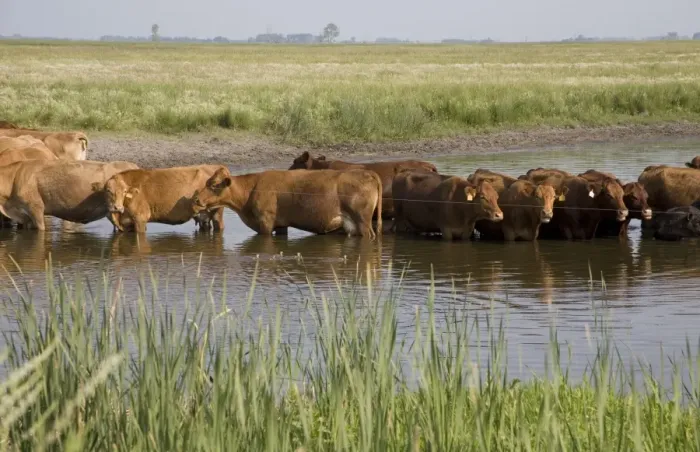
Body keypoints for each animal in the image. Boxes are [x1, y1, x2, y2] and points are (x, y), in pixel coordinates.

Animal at [191, 167, 383, 239]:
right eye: (206, 182)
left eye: (214, 185)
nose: (196, 199)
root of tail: (367, 172)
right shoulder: (281, 225)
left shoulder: (266, 223)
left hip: (363, 221)